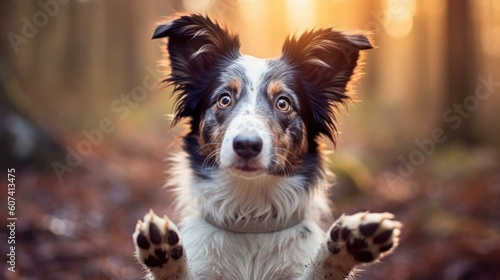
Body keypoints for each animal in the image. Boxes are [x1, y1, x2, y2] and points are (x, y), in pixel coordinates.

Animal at [134, 14, 402, 278]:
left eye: (283, 103)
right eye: (224, 99)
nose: (246, 145)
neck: (251, 221)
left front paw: (351, 243)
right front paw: (165, 255)